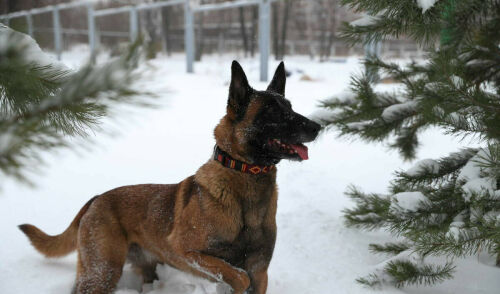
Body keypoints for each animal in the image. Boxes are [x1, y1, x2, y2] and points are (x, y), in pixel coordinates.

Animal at [19, 60, 320, 294]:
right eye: (273, 112)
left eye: (290, 107)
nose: (318, 126)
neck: (244, 177)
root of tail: (96, 198)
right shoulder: (188, 252)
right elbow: (236, 274)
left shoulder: (259, 273)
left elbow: (245, 276)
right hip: (103, 271)